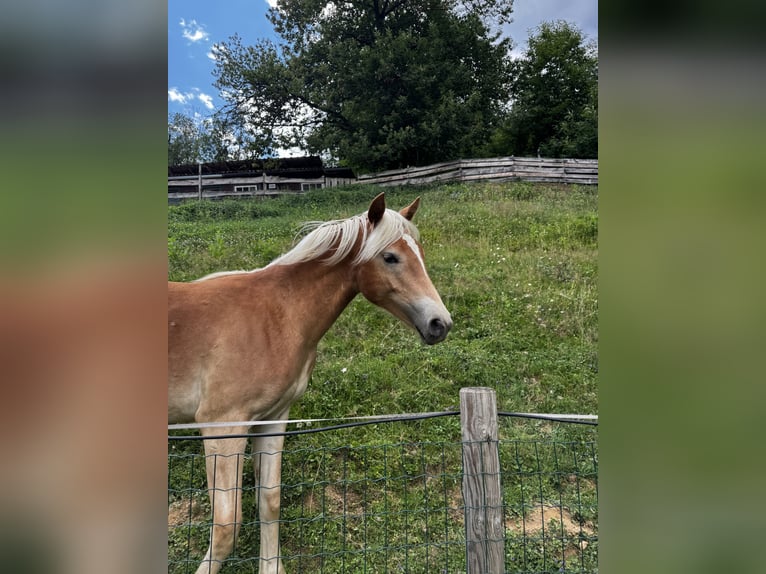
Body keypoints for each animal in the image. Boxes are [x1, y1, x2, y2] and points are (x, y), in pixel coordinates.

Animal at [168, 192, 452, 574]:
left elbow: (269, 501)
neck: (278, 315)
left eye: (419, 253)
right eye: (390, 257)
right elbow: (227, 524)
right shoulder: (222, 426)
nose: (440, 323)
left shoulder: (272, 419)